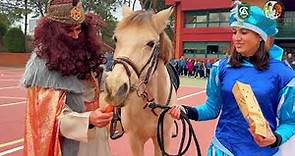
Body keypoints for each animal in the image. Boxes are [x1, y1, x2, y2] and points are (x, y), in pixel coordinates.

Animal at [104, 6, 177, 156]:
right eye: (116, 39)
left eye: (151, 43)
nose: (115, 88)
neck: (151, 104)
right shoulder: (135, 140)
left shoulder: (163, 139)